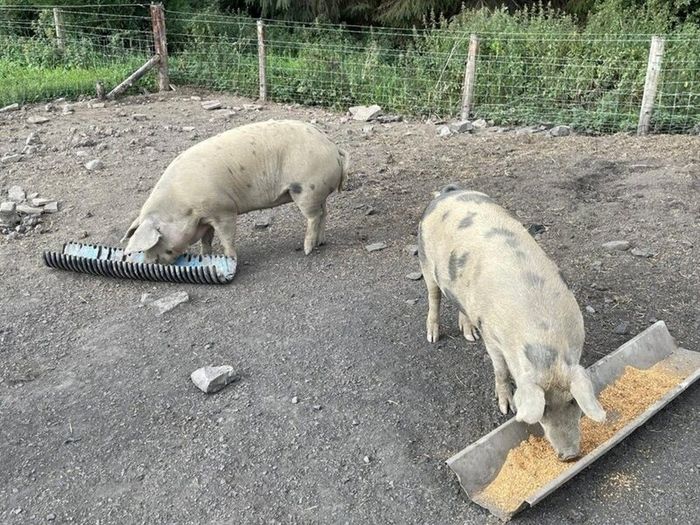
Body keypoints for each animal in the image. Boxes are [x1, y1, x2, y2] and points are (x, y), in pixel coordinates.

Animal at [121, 120, 349, 263]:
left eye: (156, 241)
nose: (149, 263)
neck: (183, 205)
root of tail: (333, 147)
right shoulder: (206, 217)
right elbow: (207, 239)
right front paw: (206, 256)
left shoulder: (223, 210)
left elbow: (226, 237)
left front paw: (230, 258)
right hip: (317, 191)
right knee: (324, 213)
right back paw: (321, 242)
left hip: (306, 189)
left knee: (313, 217)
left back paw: (307, 250)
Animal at [418, 184, 606, 460]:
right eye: (543, 410)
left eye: (572, 401)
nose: (570, 455)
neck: (544, 336)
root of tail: (448, 192)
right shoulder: (492, 338)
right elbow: (500, 370)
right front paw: (506, 409)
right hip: (426, 262)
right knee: (434, 296)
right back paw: (433, 336)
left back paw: (469, 334)